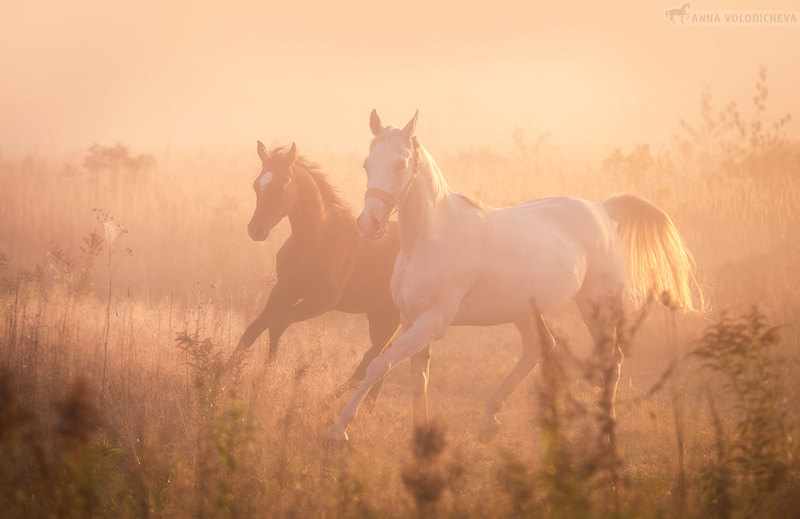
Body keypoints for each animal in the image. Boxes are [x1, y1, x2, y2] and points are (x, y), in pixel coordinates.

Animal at [230, 142, 404, 390]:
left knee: (373, 358)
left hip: (393, 315)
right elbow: (252, 330)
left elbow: (277, 323)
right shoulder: (285, 290)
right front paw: (221, 376)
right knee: (381, 358)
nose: (256, 230)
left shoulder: (322, 301)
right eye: (256, 185)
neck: (315, 237)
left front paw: (265, 377)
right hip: (376, 312)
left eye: (281, 186)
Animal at [328, 110, 696, 442]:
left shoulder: (431, 322)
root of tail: (603, 210)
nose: (369, 224)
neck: (430, 238)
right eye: (366, 164)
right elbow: (419, 380)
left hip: (597, 306)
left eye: (401, 164)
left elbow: (379, 365)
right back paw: (490, 420)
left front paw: (340, 429)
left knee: (611, 361)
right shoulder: (410, 320)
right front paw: (421, 437)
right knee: (538, 347)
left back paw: (603, 431)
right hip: (524, 311)